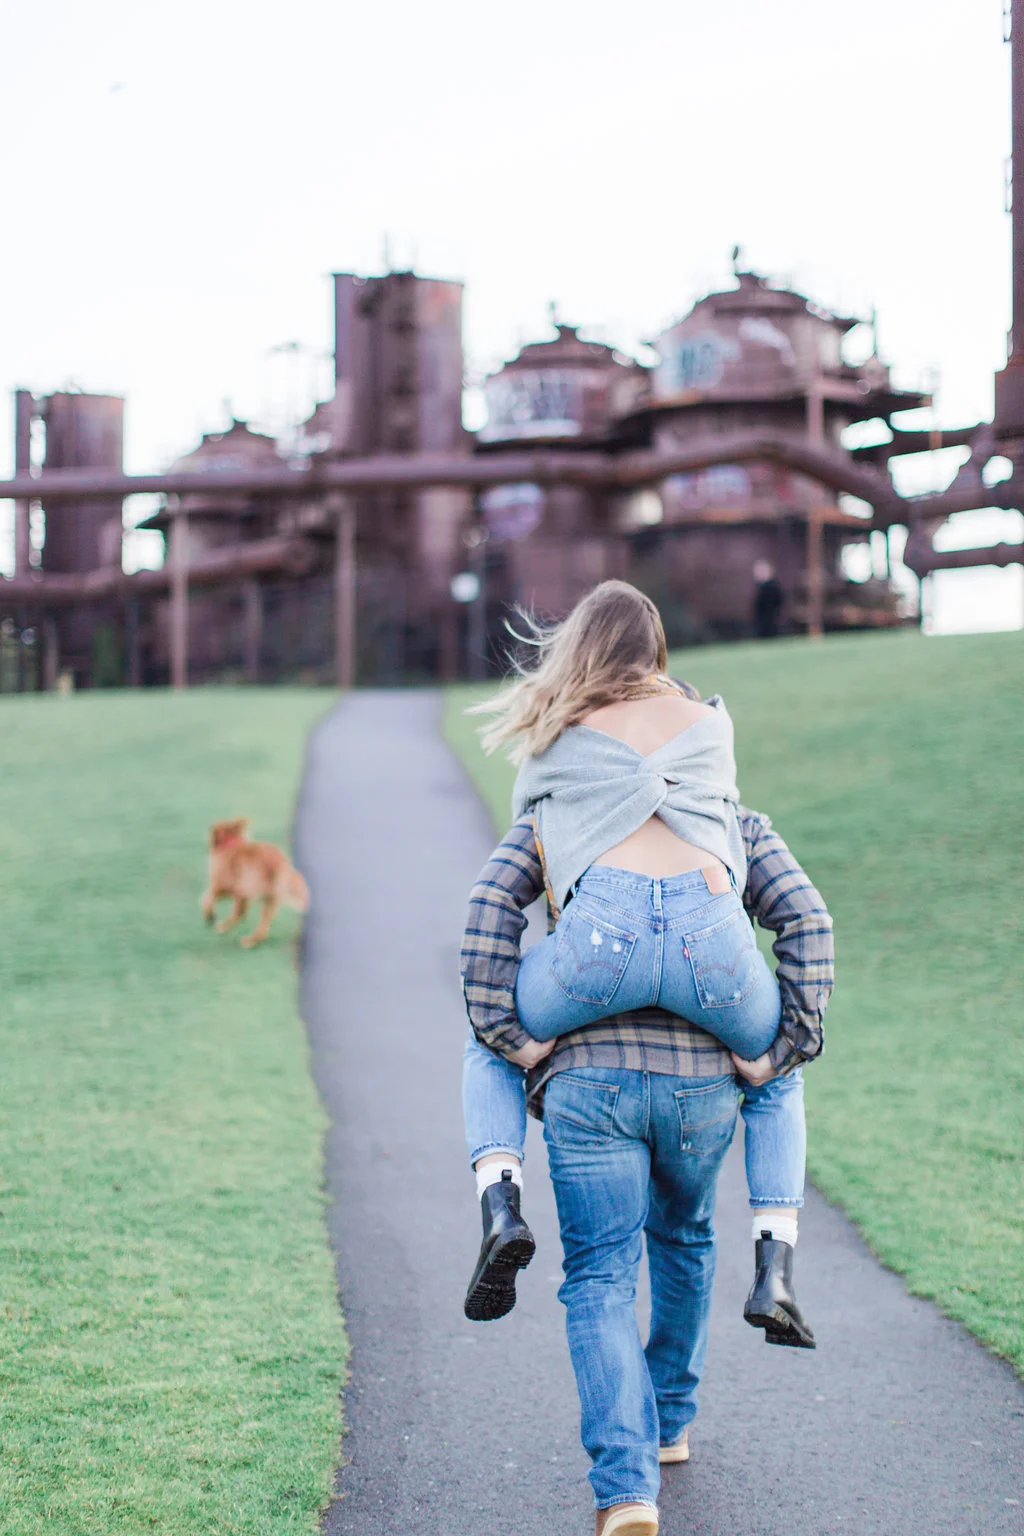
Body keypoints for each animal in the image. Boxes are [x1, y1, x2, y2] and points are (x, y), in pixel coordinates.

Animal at [199, 817, 310, 946]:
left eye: (213, 829)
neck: (231, 843)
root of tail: (280, 862)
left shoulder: (223, 885)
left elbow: (207, 897)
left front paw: (209, 914)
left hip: (245, 886)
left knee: (238, 913)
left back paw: (224, 928)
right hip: (269, 899)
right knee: (262, 924)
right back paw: (251, 940)